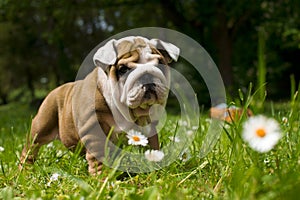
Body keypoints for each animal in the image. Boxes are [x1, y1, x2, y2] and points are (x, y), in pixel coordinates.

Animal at [20, 36, 180, 174]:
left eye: (160, 65)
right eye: (123, 69)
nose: (147, 75)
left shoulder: (150, 127)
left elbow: (153, 145)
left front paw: (156, 164)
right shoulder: (94, 130)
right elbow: (99, 158)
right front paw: (102, 178)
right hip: (41, 126)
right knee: (30, 149)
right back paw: (25, 170)